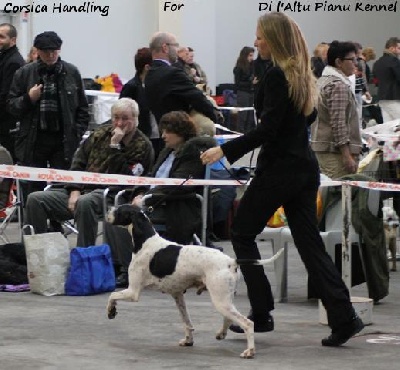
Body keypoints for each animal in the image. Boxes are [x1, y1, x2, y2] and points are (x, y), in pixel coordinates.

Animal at [104, 204, 282, 360]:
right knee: (229, 318)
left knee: (247, 323)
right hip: (225, 299)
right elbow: (186, 322)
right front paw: (188, 340)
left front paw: (111, 311)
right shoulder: (177, 295)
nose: (107, 209)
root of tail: (231, 261)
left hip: (220, 301)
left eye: (119, 209)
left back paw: (249, 351)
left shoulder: (133, 292)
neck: (146, 241)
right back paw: (221, 333)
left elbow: (112, 295)